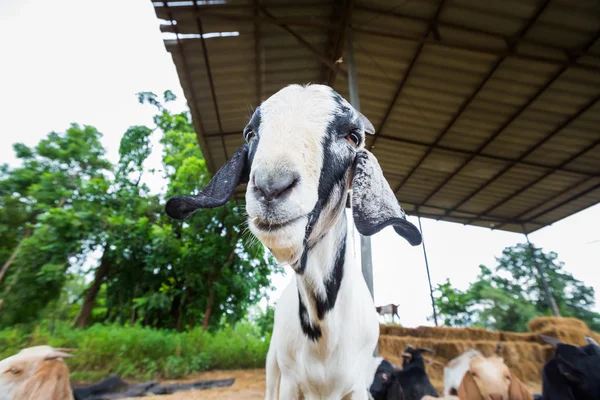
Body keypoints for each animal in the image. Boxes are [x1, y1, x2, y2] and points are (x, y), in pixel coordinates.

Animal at [163, 83, 422, 398]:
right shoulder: (289, 382)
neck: (324, 334)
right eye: (250, 134)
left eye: (353, 136)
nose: (271, 187)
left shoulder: (358, 387)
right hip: (272, 363)